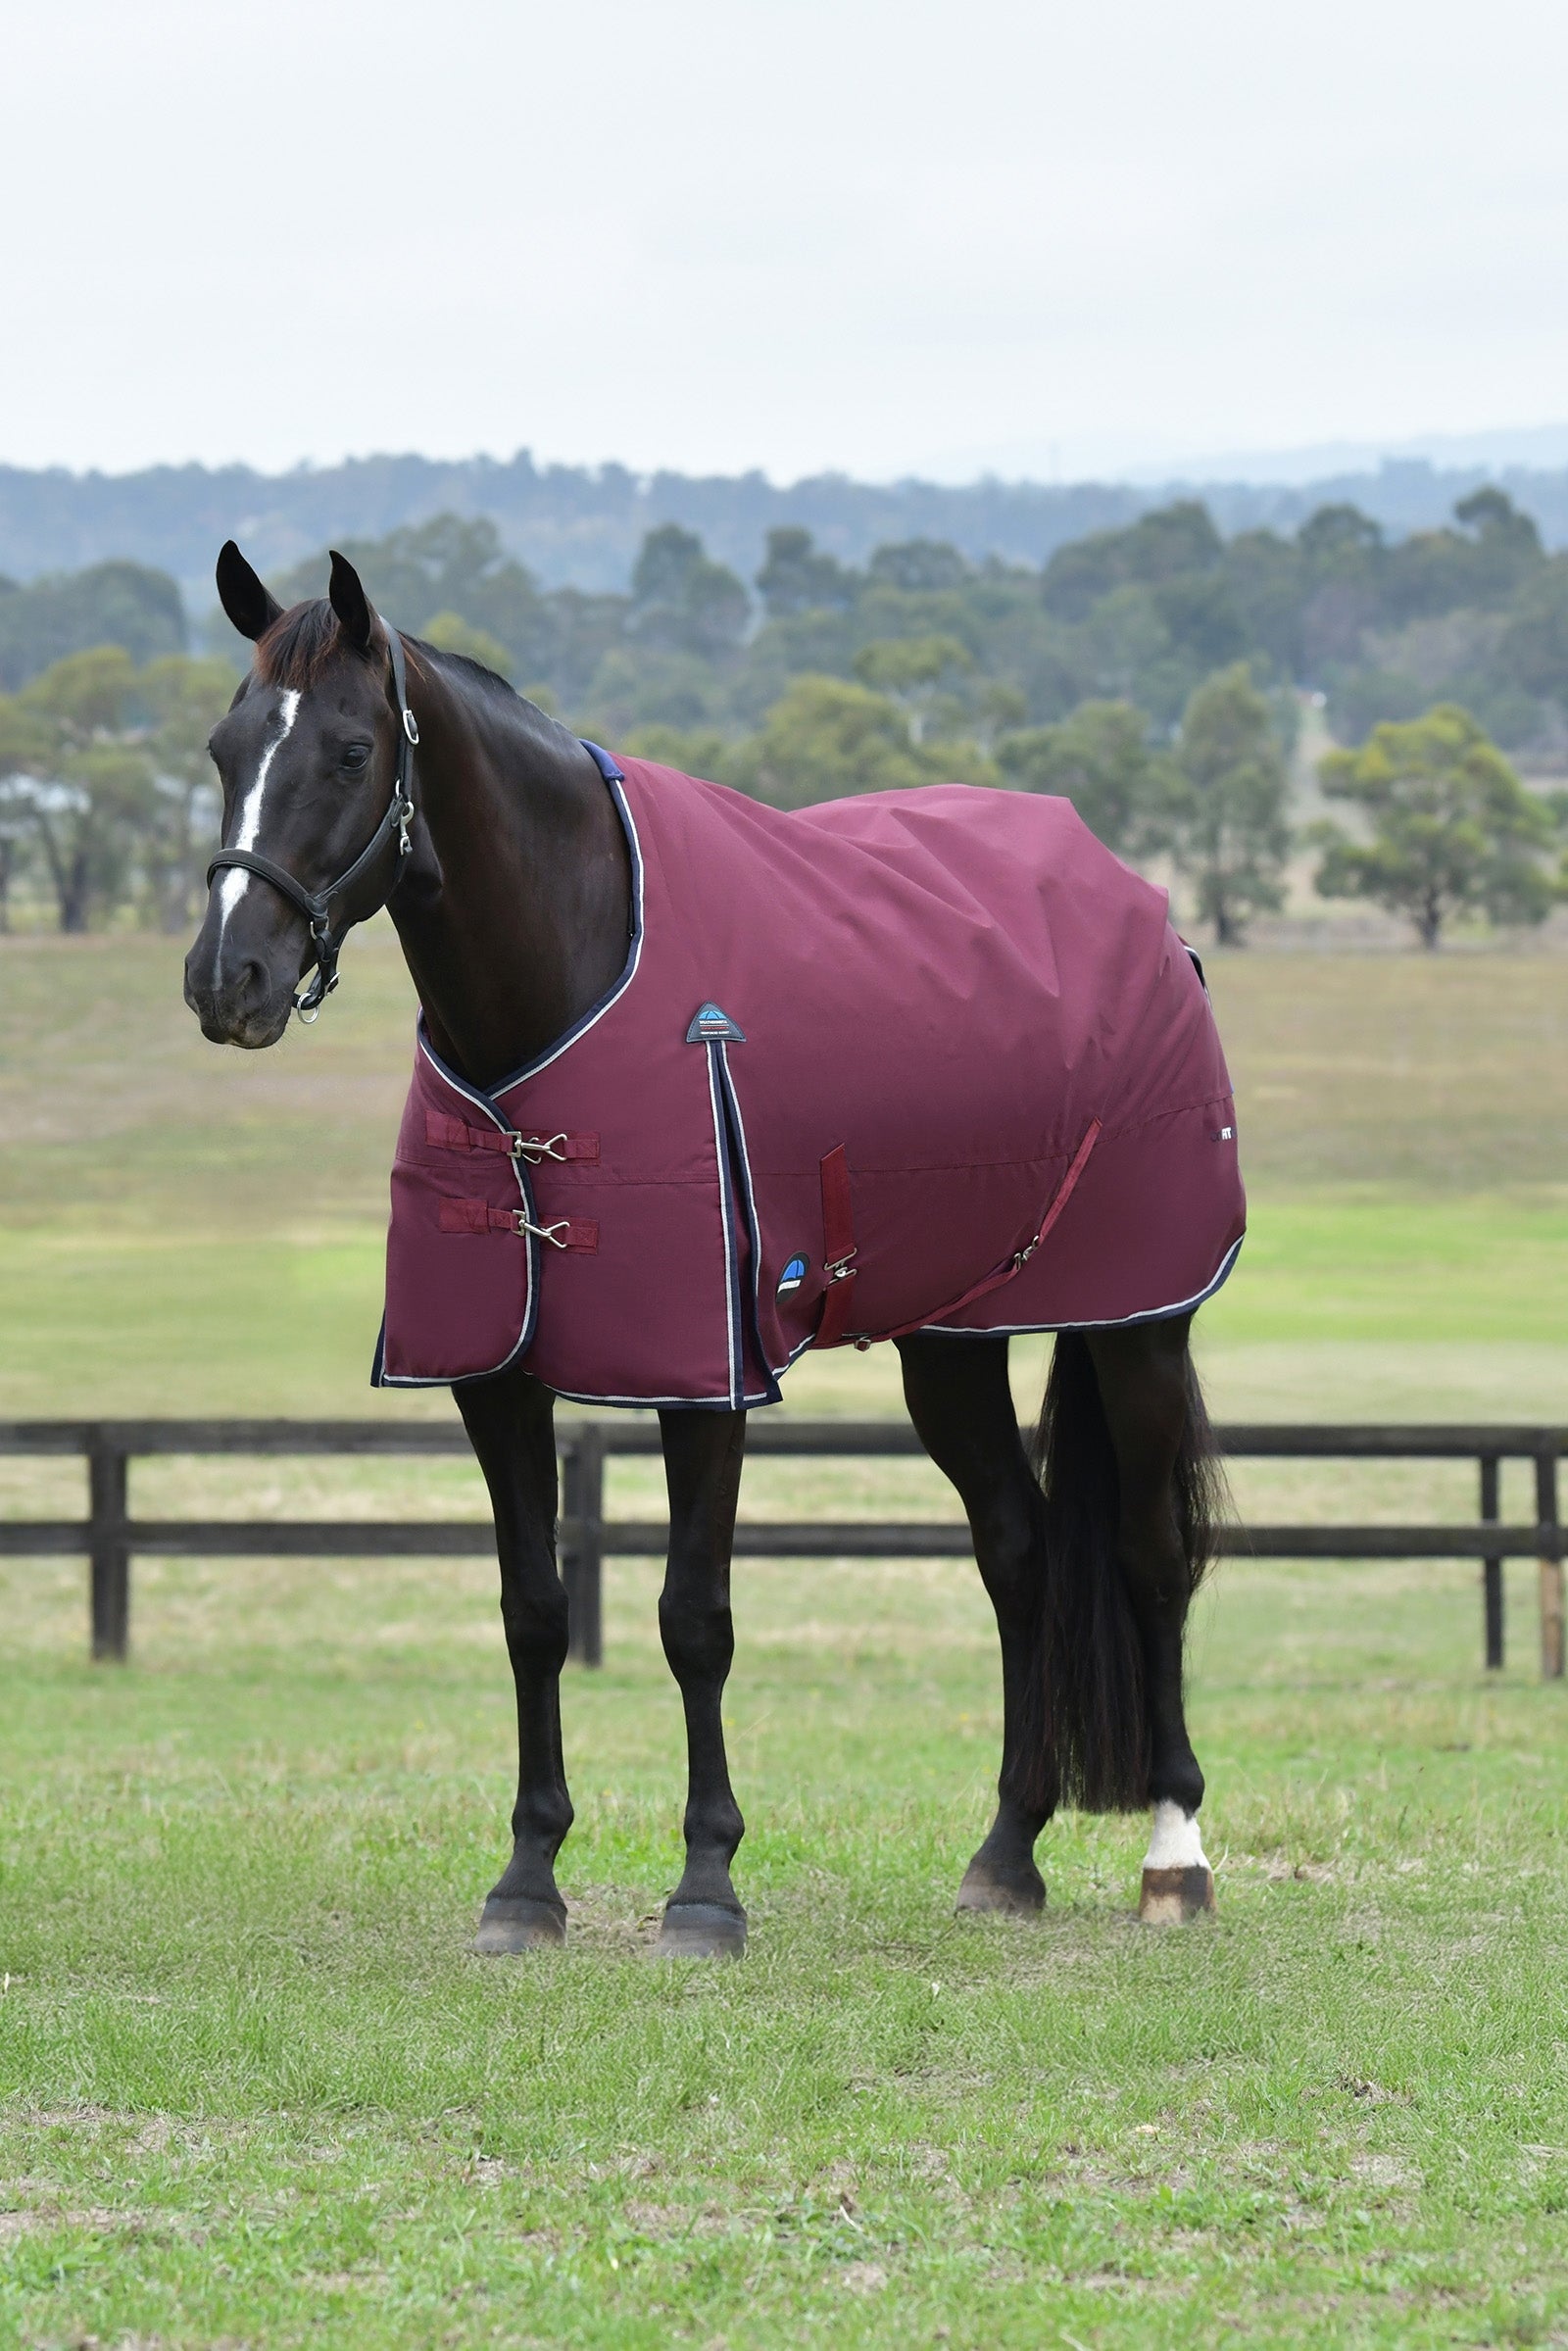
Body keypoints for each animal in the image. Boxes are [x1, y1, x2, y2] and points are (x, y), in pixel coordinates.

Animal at [183, 541, 1236, 1958]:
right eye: (225, 745)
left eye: (351, 750)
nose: (225, 978)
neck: (570, 976)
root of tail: (1143, 908)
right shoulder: (491, 1376)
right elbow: (533, 1611)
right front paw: (527, 1881)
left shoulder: (707, 1374)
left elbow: (695, 1618)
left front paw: (705, 1886)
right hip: (953, 1340)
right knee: (1016, 1549)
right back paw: (1005, 1850)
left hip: (1138, 1323)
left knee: (1148, 1551)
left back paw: (1175, 1854)